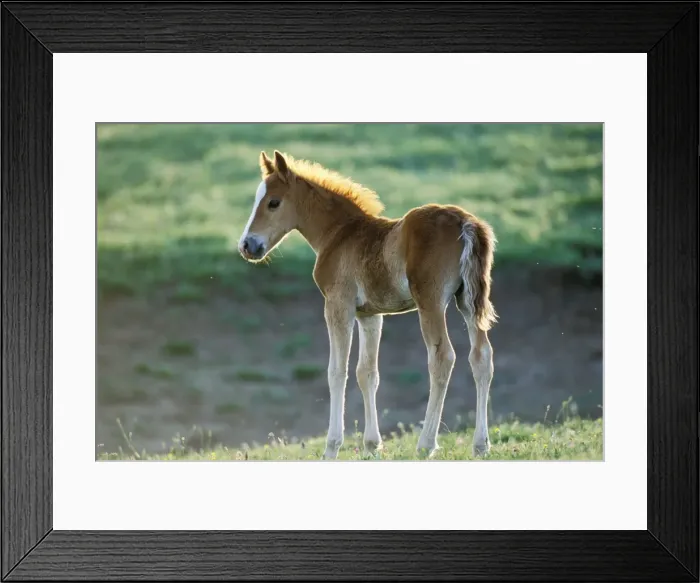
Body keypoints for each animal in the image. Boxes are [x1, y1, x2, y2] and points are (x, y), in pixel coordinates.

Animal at [238, 150, 497, 459]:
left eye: (273, 202)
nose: (247, 246)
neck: (338, 234)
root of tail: (465, 223)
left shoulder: (338, 305)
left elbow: (337, 371)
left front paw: (332, 447)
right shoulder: (370, 315)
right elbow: (367, 373)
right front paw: (373, 445)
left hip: (430, 302)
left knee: (442, 358)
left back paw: (426, 444)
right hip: (467, 301)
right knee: (481, 357)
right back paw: (481, 445)